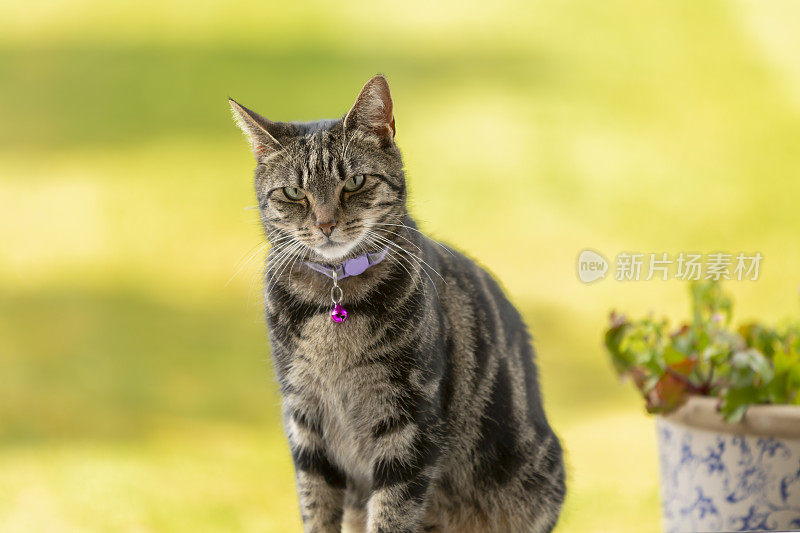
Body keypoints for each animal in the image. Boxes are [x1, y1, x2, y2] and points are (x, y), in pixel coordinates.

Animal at [228, 75, 564, 532]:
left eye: (354, 182)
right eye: (295, 192)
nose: (326, 223)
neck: (334, 295)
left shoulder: (409, 421)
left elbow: (392, 512)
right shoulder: (304, 417)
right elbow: (317, 506)